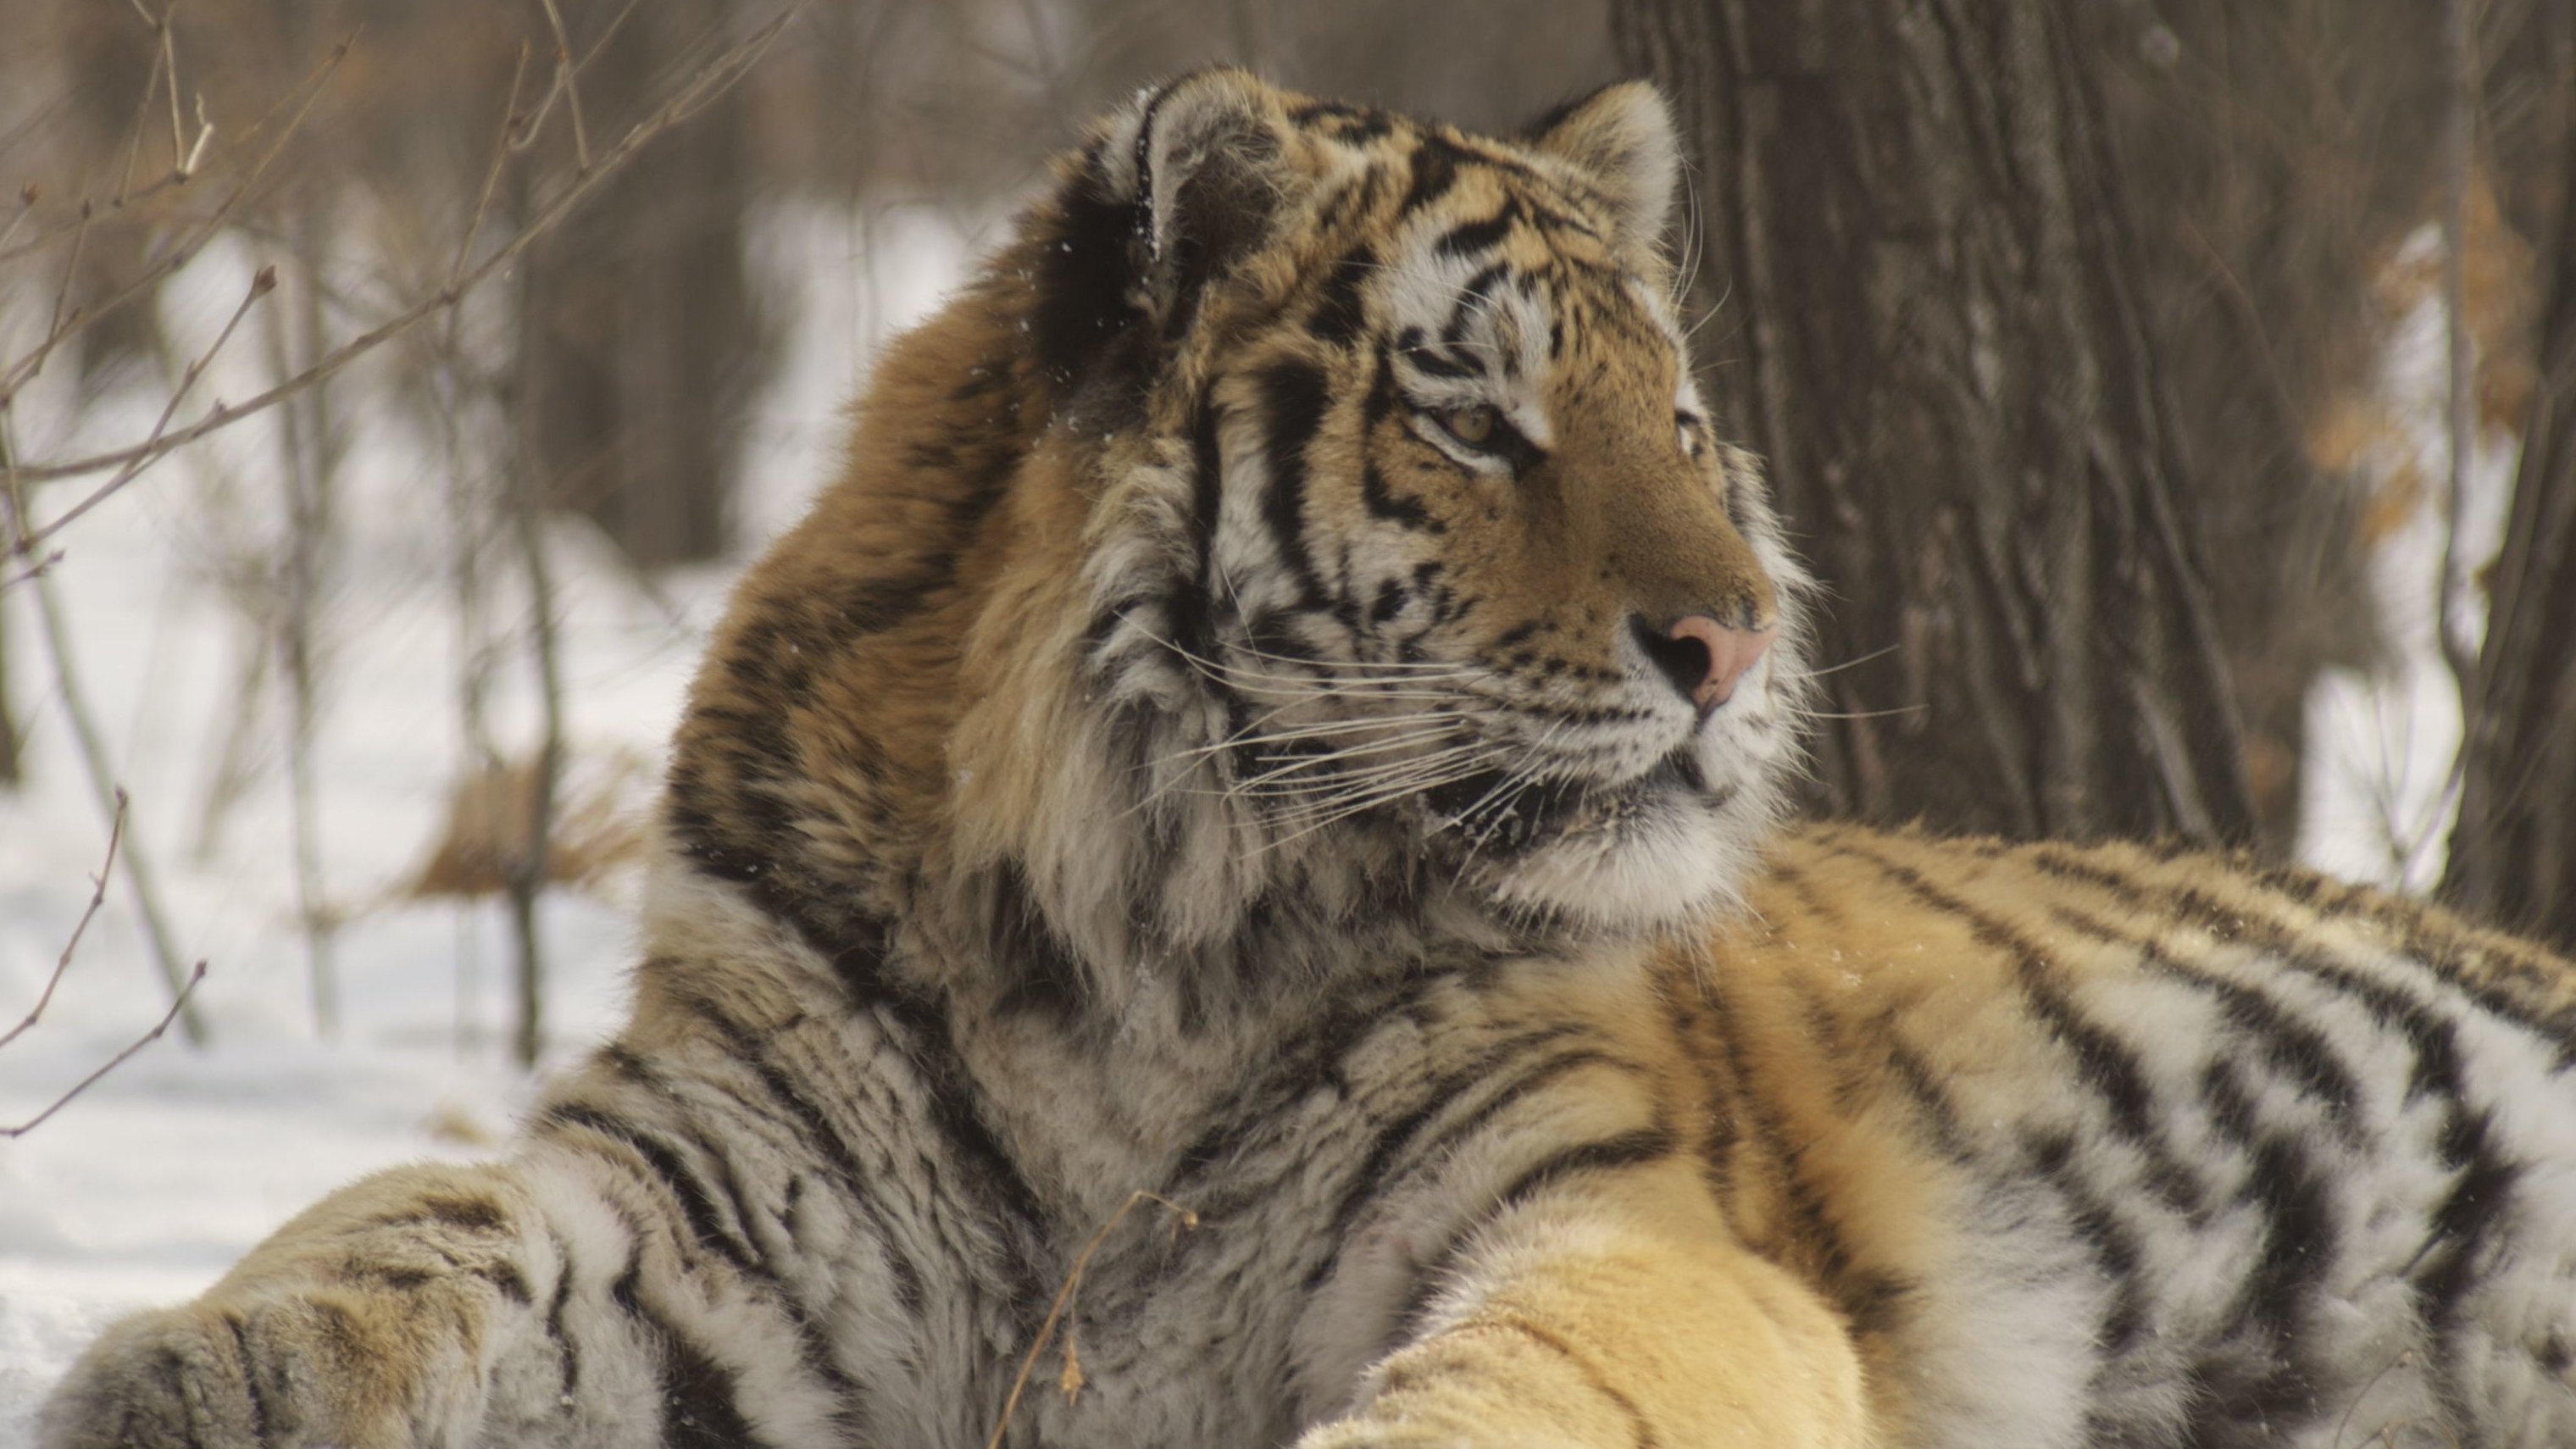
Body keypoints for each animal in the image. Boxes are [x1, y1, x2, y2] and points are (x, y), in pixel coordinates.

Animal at [39, 67, 2576, 1449]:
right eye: (1480, 419)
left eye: (1680, 421)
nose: (1735, 638)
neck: (1129, 954)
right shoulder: (714, 1205)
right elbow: (395, 1231)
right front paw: (155, 1371)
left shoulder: (1615, 1205)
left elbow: (1545, 1372)